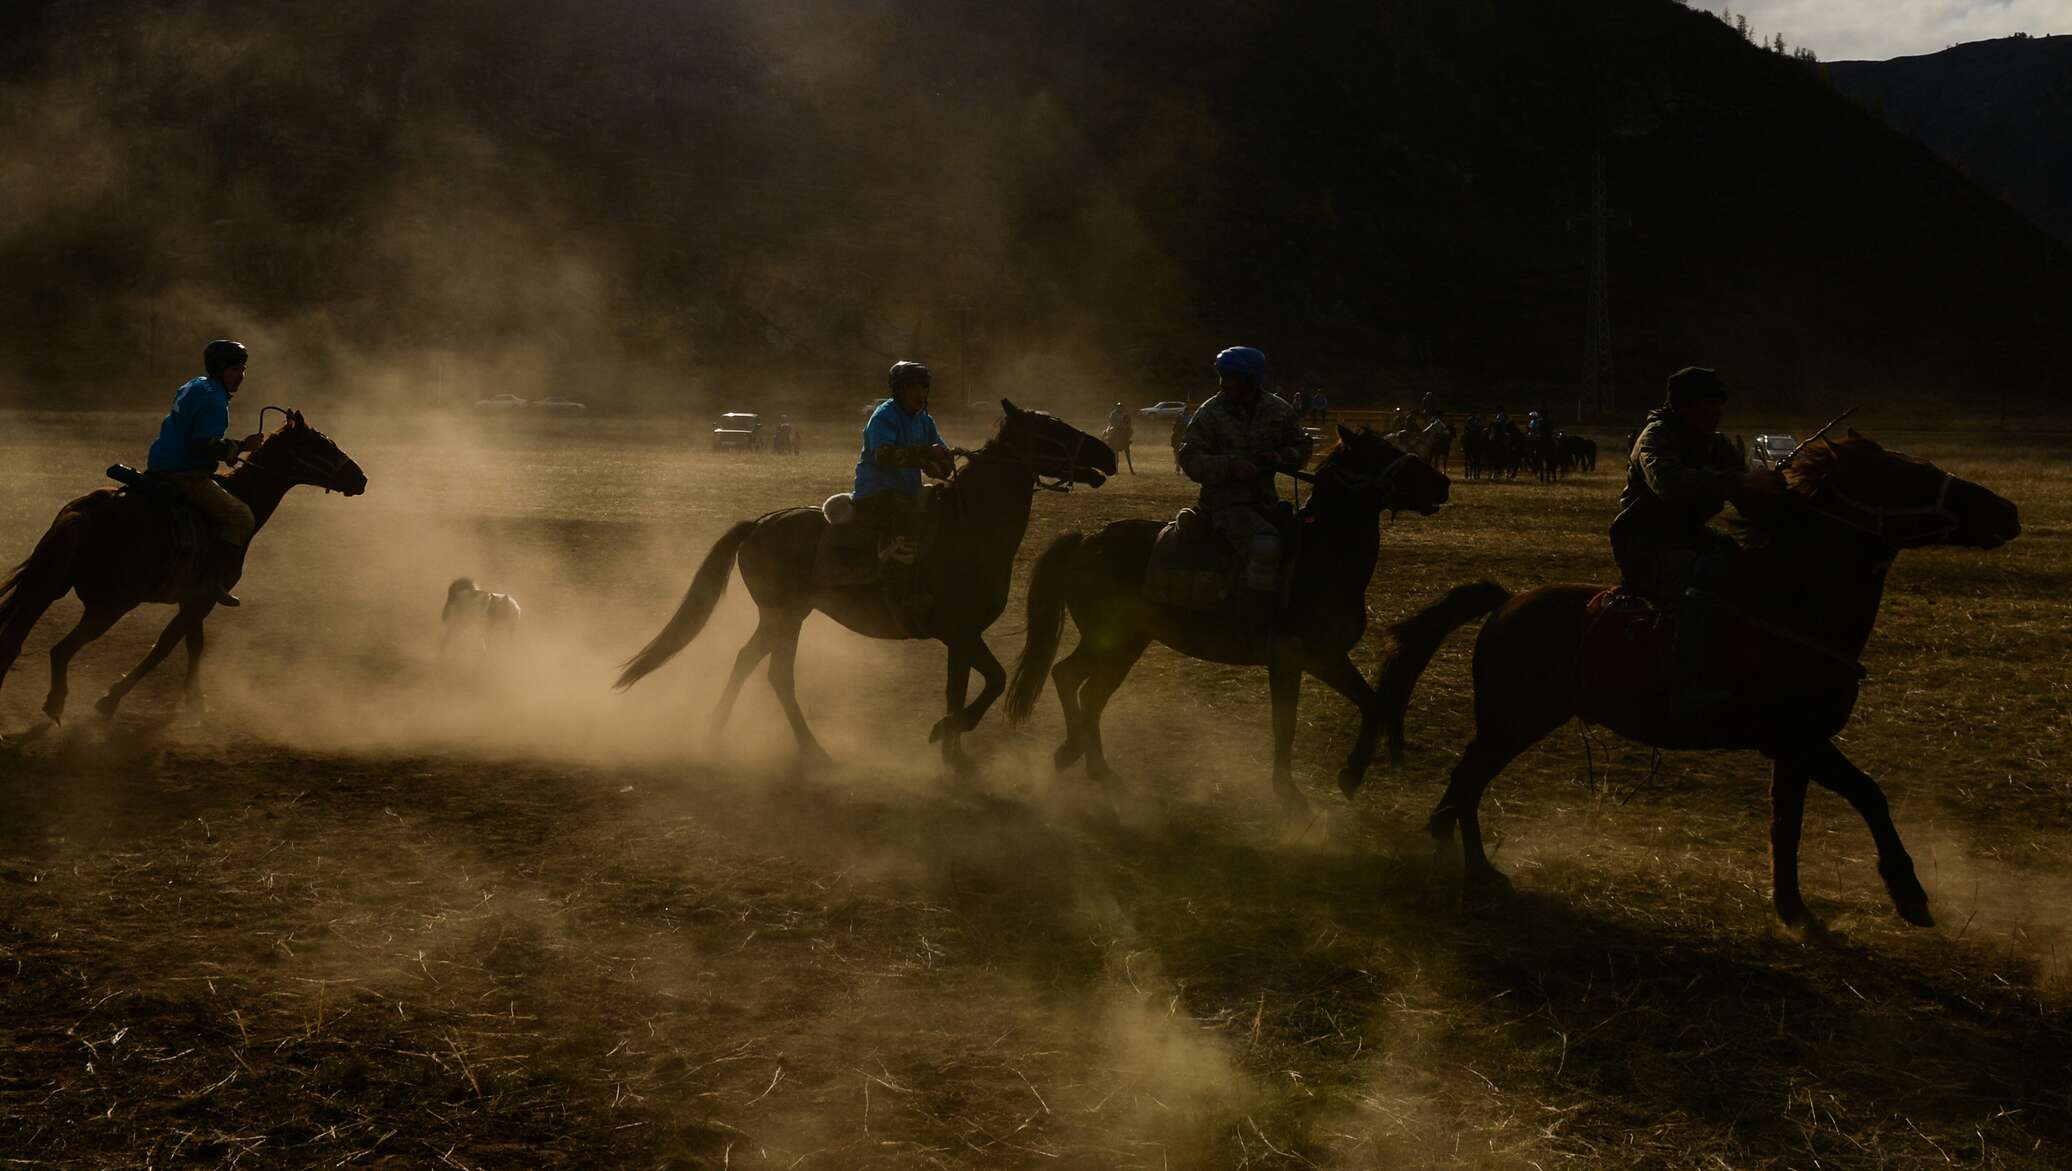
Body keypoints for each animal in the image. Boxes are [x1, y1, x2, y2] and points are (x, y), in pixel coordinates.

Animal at [0, 406, 366, 725]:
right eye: (319, 445)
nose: (360, 478)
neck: (241, 498)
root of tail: (84, 513)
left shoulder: (189, 600)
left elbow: (173, 643)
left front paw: (115, 699)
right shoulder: (201, 599)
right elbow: (178, 646)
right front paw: (188, 702)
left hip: (46, 588)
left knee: (13, 643)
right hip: (110, 606)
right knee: (60, 650)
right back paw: (54, 703)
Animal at [613, 397, 1118, 770]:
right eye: (1053, 428)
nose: (1108, 454)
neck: (969, 528)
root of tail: (761, 523)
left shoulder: (961, 637)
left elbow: (958, 691)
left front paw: (954, 753)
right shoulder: (959, 631)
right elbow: (992, 681)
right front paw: (946, 731)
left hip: (782, 617)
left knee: (747, 662)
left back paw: (717, 733)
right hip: (785, 616)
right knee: (777, 674)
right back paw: (812, 750)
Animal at [1011, 424, 1450, 816]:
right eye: (1381, 452)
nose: (1443, 484)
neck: (1320, 557)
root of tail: (1087, 541)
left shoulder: (1326, 658)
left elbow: (1372, 703)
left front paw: (1351, 775)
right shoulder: (1291, 658)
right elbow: (1285, 723)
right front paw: (1291, 794)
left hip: (1127, 643)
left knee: (1087, 691)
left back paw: (1087, 762)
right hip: (1111, 639)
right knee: (1071, 679)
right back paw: (1080, 757)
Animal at [1375, 433, 2022, 928]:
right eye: (1904, 475)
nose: (2007, 511)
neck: (1792, 604)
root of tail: (1506, 603)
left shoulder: (1794, 749)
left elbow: (1789, 824)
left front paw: (1792, 907)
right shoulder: (1797, 739)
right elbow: (1866, 795)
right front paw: (1907, 892)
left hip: (1513, 725)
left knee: (1463, 785)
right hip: (1513, 724)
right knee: (1467, 783)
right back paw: (1476, 867)